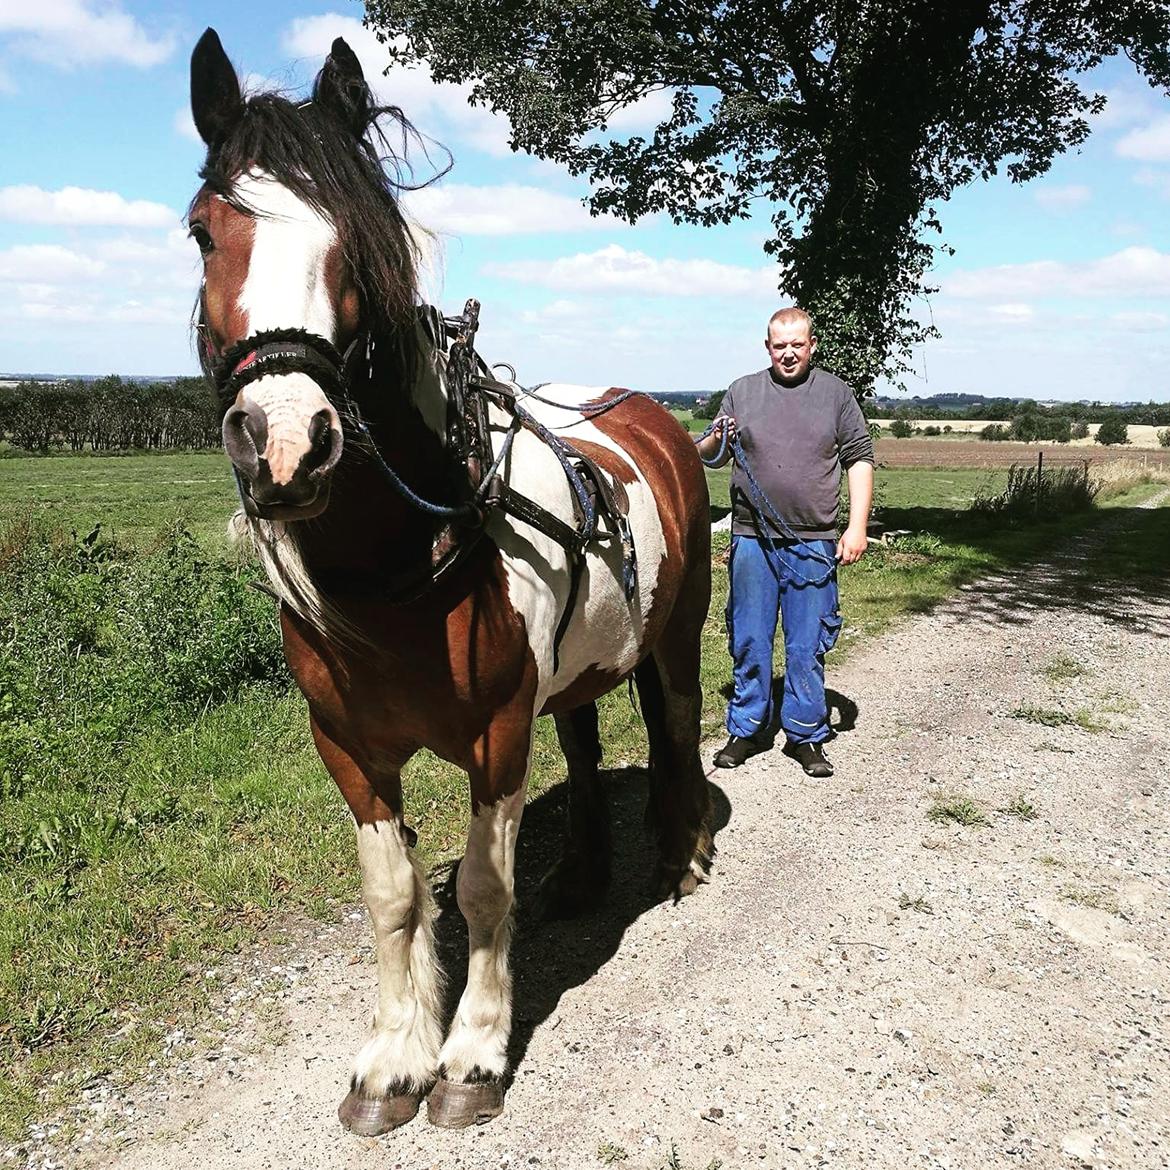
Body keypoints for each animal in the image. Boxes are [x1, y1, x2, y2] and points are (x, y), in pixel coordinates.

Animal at [186, 32, 711, 1137]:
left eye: (358, 240)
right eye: (205, 234)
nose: (285, 443)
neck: (399, 562)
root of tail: (652, 413)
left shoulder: (496, 734)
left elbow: (478, 886)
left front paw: (472, 1052)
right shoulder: (346, 746)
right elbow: (393, 894)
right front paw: (395, 1055)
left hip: (679, 634)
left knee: (680, 726)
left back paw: (681, 853)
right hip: (575, 673)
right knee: (586, 747)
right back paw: (582, 875)